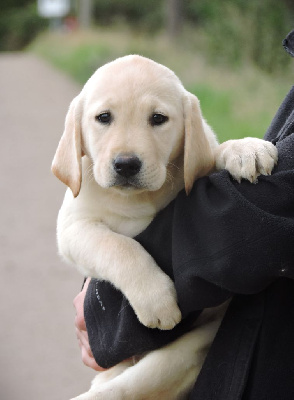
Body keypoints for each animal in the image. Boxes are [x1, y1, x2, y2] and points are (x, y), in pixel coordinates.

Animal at [52, 54, 278, 398]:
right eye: (103, 118)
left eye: (158, 119)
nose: (126, 164)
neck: (136, 199)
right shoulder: (73, 228)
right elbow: (119, 246)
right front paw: (156, 298)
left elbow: (210, 153)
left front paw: (244, 149)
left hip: (192, 345)